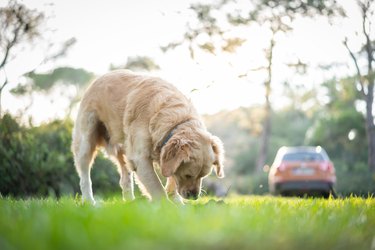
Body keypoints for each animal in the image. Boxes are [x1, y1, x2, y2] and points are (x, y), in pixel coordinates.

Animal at [72, 70, 225, 203]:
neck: (176, 118)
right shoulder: (140, 159)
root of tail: (99, 78)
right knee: (84, 177)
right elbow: (157, 188)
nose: (194, 197)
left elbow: (171, 179)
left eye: (202, 176)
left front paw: (177, 201)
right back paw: (89, 202)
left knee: (125, 179)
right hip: (86, 141)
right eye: (188, 175)